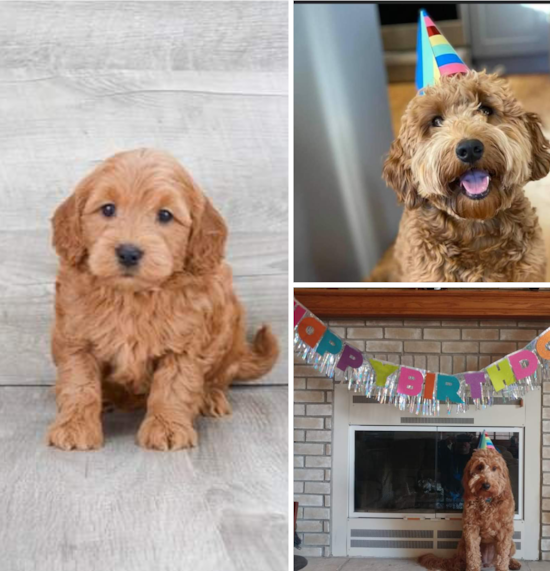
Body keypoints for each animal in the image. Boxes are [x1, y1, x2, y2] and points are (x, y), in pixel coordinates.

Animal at [47, 149, 280, 452]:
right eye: (108, 209)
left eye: (165, 215)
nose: (128, 252)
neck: (133, 296)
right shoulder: (76, 338)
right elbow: (79, 384)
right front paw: (74, 426)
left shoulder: (185, 344)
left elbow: (174, 386)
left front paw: (167, 427)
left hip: (229, 332)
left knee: (219, 378)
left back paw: (210, 397)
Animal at [422, 434, 520, 571]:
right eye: (479, 467)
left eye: (495, 468)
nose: (486, 485)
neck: (487, 499)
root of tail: (487, 563)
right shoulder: (471, 528)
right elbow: (473, 553)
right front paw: (473, 568)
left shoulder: (505, 530)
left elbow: (502, 556)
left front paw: (503, 568)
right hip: (462, 545)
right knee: (461, 561)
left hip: (512, 544)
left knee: (507, 556)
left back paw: (513, 563)